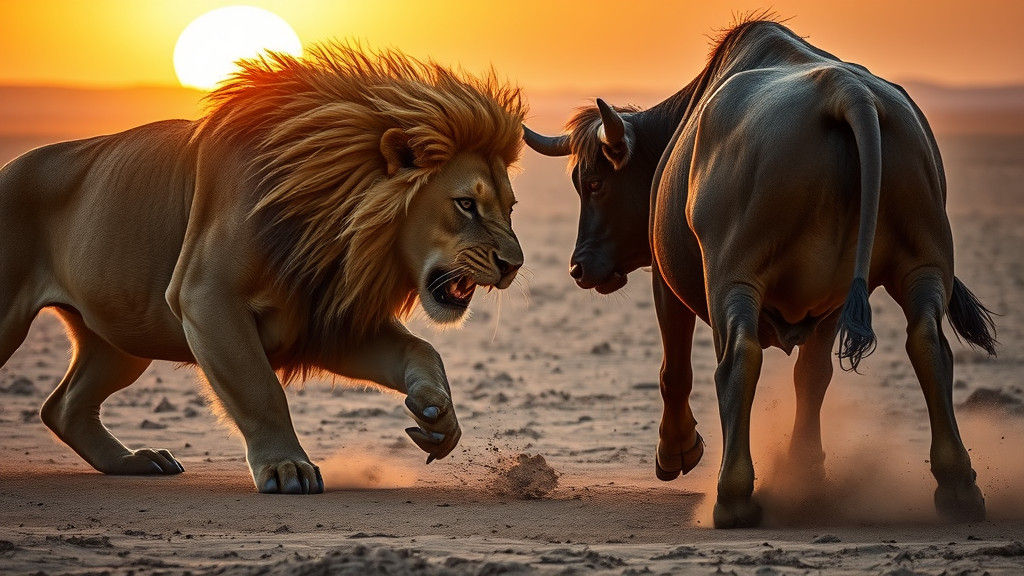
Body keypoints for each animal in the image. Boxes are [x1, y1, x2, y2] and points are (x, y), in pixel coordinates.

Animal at [0, 44, 526, 494]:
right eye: (465, 204)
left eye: (510, 208)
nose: (513, 265)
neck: (336, 227)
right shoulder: (205, 298)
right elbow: (261, 389)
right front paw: (286, 467)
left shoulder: (324, 319)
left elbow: (422, 352)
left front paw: (437, 416)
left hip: (121, 336)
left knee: (63, 407)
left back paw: (136, 461)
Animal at [523, 19, 997, 528]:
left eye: (593, 183)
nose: (578, 266)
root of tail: (846, 91)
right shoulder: (831, 305)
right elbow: (812, 377)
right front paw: (807, 473)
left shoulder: (667, 281)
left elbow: (676, 369)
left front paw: (677, 450)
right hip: (920, 265)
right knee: (928, 344)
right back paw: (957, 486)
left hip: (731, 277)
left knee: (737, 360)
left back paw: (733, 496)